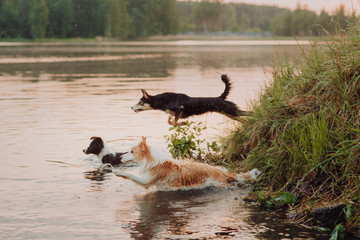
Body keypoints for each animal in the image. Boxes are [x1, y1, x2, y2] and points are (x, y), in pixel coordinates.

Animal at [112, 137, 258, 191]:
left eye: (132, 151)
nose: (120, 158)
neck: (152, 161)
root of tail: (222, 172)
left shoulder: (146, 181)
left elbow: (132, 176)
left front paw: (119, 172)